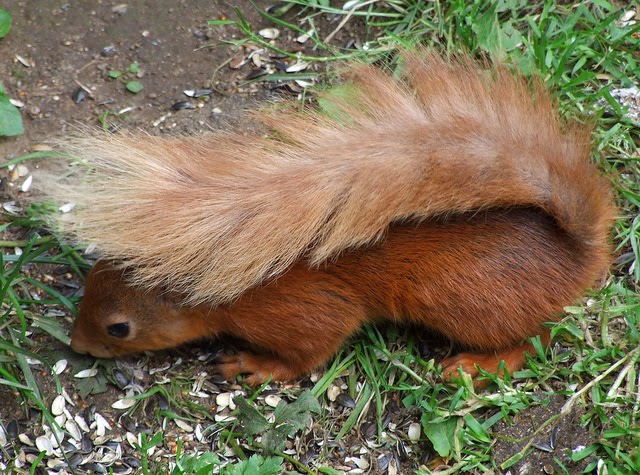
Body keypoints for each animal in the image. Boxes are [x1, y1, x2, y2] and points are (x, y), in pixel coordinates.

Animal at [46, 51, 616, 386]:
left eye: (120, 328)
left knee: (536, 339)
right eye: (90, 279)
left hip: (463, 298)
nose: (77, 347)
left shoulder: (298, 309)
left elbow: (312, 350)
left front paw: (256, 365)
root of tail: (578, 254)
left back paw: (480, 364)